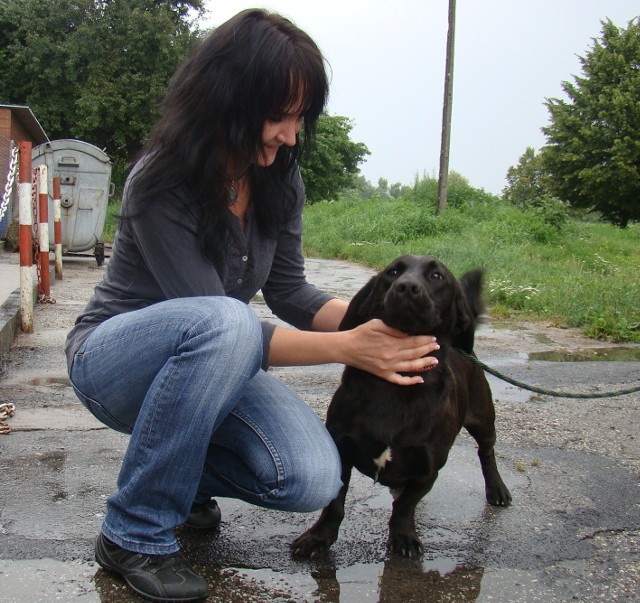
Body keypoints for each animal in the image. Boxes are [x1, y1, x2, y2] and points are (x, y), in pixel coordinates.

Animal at [294, 252, 510, 560]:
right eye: (392, 272)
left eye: (436, 276)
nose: (407, 287)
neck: (395, 386)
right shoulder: (341, 451)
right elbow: (335, 503)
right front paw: (318, 537)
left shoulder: (428, 468)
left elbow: (406, 506)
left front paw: (404, 537)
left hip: (483, 418)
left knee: (487, 451)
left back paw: (497, 488)